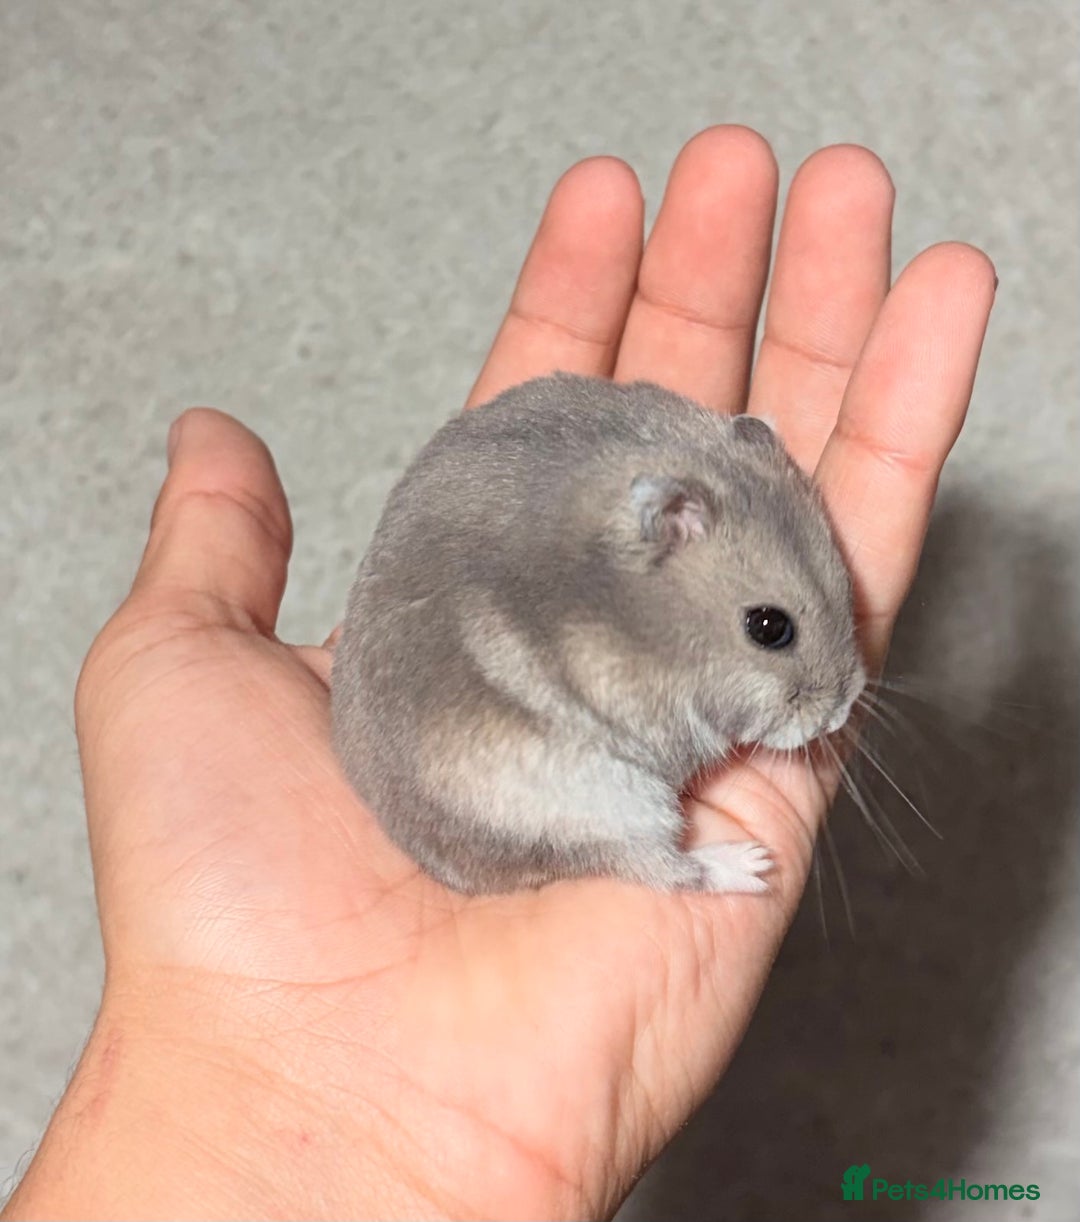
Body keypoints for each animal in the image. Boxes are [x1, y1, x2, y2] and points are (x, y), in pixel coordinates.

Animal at [330, 373, 865, 895]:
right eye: (769, 627)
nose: (840, 714)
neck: (636, 616)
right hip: (608, 807)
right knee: (664, 870)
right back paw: (754, 865)